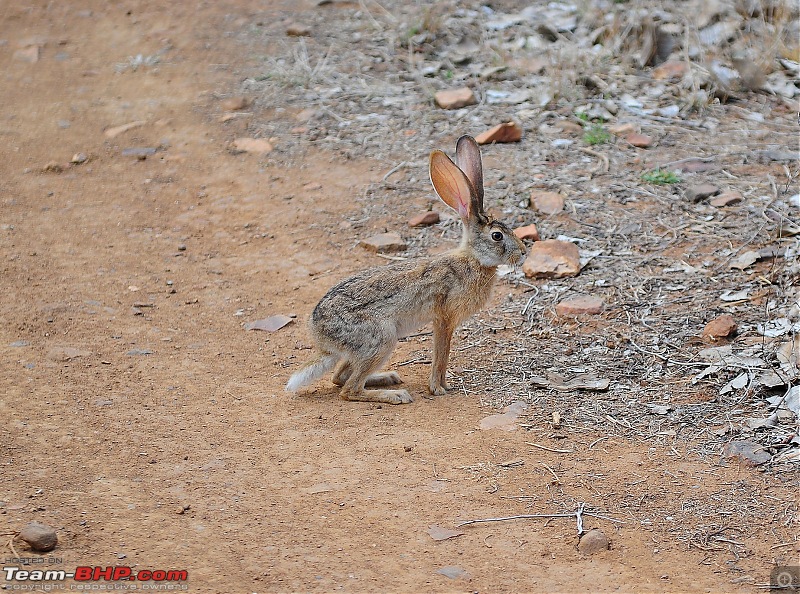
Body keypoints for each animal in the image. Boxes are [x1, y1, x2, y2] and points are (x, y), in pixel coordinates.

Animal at [284, 134, 528, 402]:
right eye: (497, 236)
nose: (523, 253)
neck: (473, 259)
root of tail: (321, 338)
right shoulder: (444, 319)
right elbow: (441, 356)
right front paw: (438, 388)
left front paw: (442, 386)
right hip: (381, 339)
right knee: (349, 389)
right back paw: (395, 395)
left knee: (339, 378)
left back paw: (387, 378)